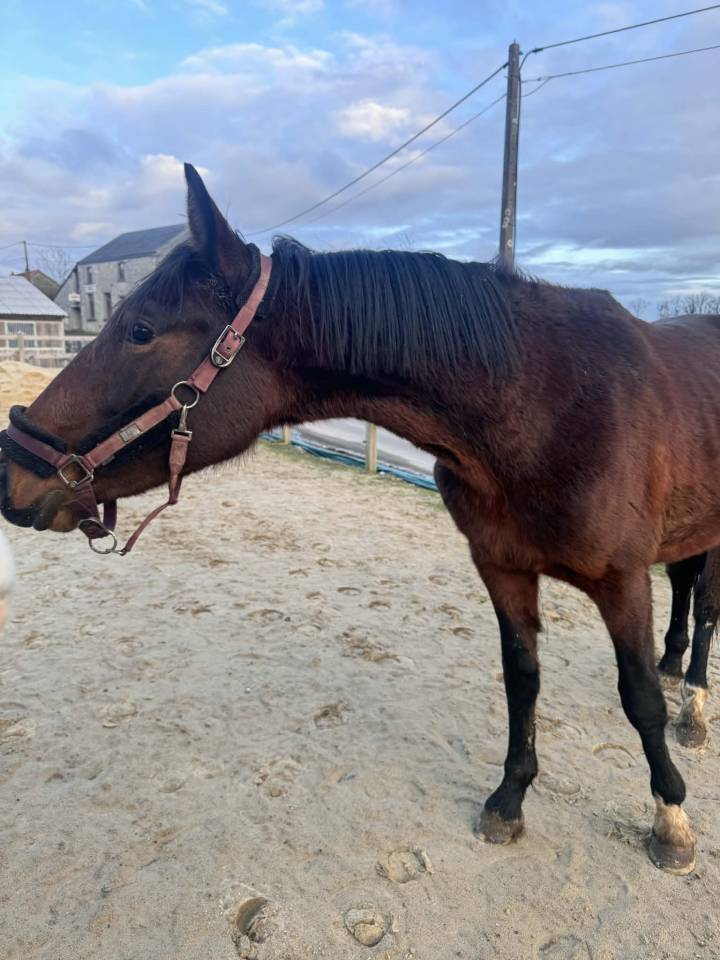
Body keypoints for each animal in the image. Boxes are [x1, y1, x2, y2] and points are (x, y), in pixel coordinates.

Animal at [2, 164, 720, 875]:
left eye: (142, 330)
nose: (13, 473)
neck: (541, 404)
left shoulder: (621, 580)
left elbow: (639, 699)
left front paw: (671, 819)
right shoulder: (504, 568)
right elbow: (523, 681)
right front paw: (509, 798)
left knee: (706, 610)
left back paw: (693, 705)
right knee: (686, 592)